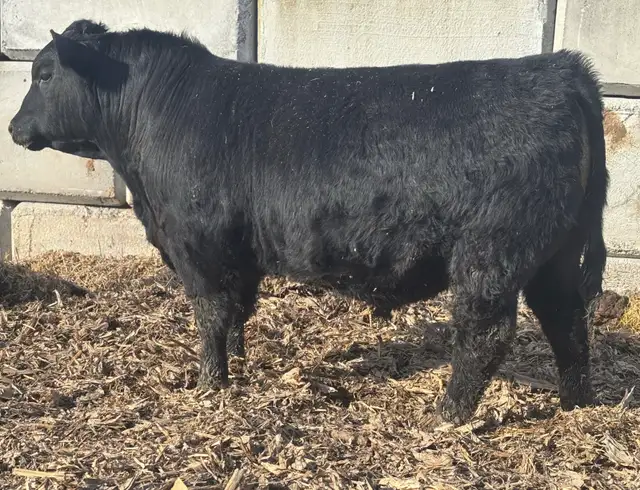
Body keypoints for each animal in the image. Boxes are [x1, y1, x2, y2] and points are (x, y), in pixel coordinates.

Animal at [8, 19, 609, 425]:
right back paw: (576, 403)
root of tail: (562, 70)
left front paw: (209, 385)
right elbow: (237, 312)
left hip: (493, 253)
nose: (13, 128)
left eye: (44, 74)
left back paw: (448, 415)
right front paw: (239, 365)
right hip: (555, 253)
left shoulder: (198, 244)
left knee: (487, 333)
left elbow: (209, 316)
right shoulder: (237, 252)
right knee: (567, 322)